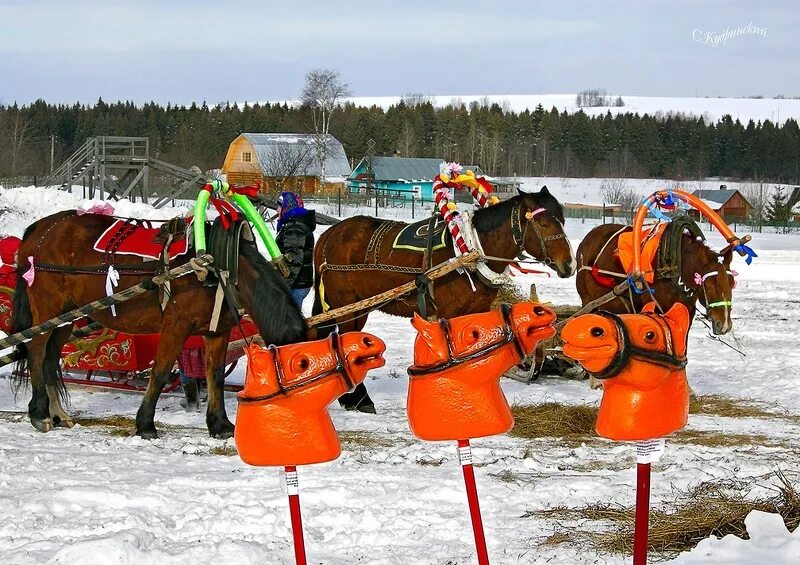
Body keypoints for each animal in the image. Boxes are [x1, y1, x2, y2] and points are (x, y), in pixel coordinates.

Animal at [12, 209, 306, 438]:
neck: (220, 267)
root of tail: (40, 229)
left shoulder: (217, 331)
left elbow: (215, 376)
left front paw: (220, 424)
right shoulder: (176, 326)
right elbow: (161, 373)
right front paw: (145, 424)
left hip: (64, 318)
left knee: (50, 359)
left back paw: (58, 414)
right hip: (47, 308)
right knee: (36, 353)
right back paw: (39, 413)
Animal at [312, 187, 576, 412]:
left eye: (563, 221)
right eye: (543, 223)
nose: (569, 264)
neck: (470, 250)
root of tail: (329, 235)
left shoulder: (475, 311)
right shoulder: (448, 313)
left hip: (358, 306)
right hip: (346, 305)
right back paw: (359, 399)